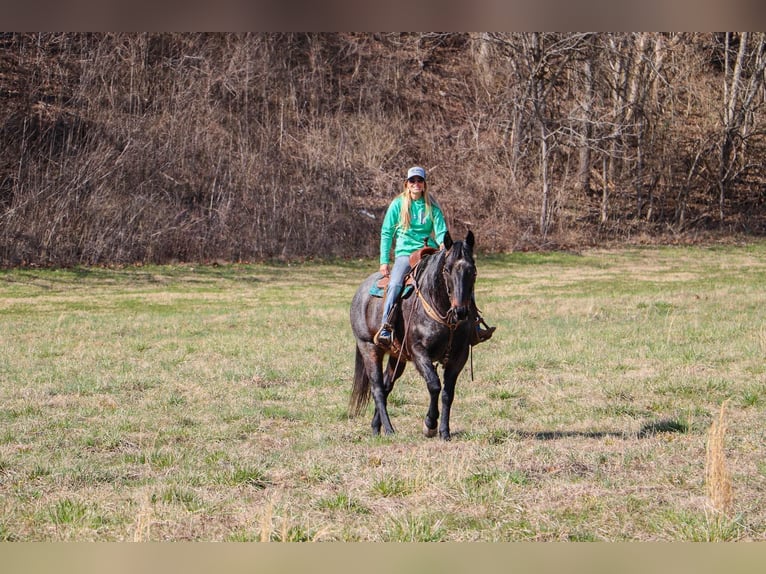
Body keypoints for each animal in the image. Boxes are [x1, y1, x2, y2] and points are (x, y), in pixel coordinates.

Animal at [350, 230, 480, 440]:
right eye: (447, 269)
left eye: (472, 270)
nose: (460, 312)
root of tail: (360, 292)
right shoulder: (419, 352)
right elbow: (434, 385)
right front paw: (430, 425)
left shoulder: (459, 356)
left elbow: (448, 393)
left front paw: (444, 432)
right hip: (368, 347)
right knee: (377, 389)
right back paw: (389, 429)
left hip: (397, 357)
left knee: (386, 385)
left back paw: (376, 427)